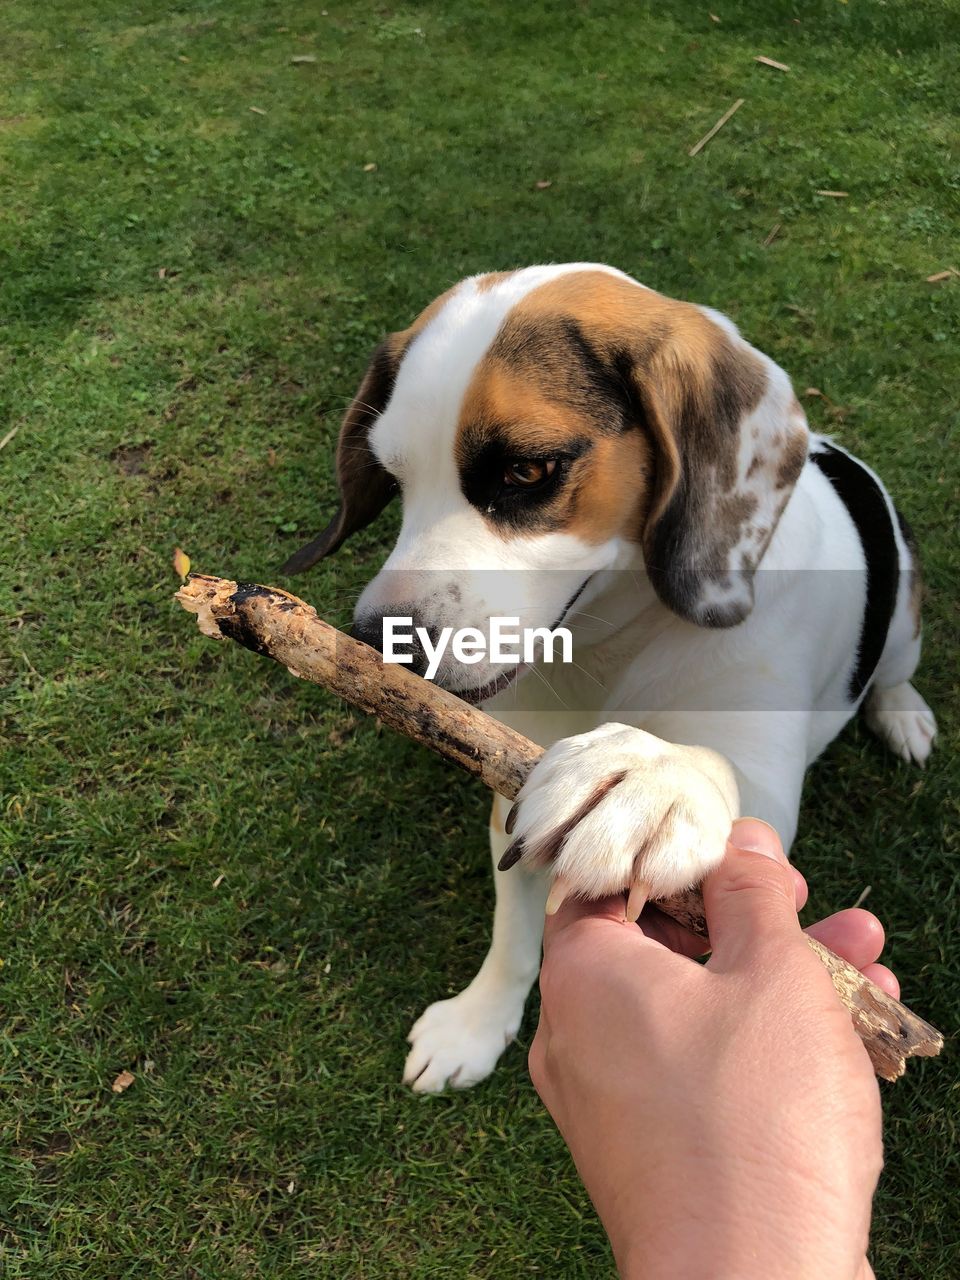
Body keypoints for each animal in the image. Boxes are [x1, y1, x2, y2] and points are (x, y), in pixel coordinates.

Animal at [281, 264, 936, 1095]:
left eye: (526, 470)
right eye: (394, 479)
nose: (374, 642)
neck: (606, 650)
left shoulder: (762, 775)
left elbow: (714, 773)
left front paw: (656, 777)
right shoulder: (513, 779)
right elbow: (514, 928)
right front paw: (479, 1019)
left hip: (904, 620)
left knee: (893, 671)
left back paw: (903, 713)